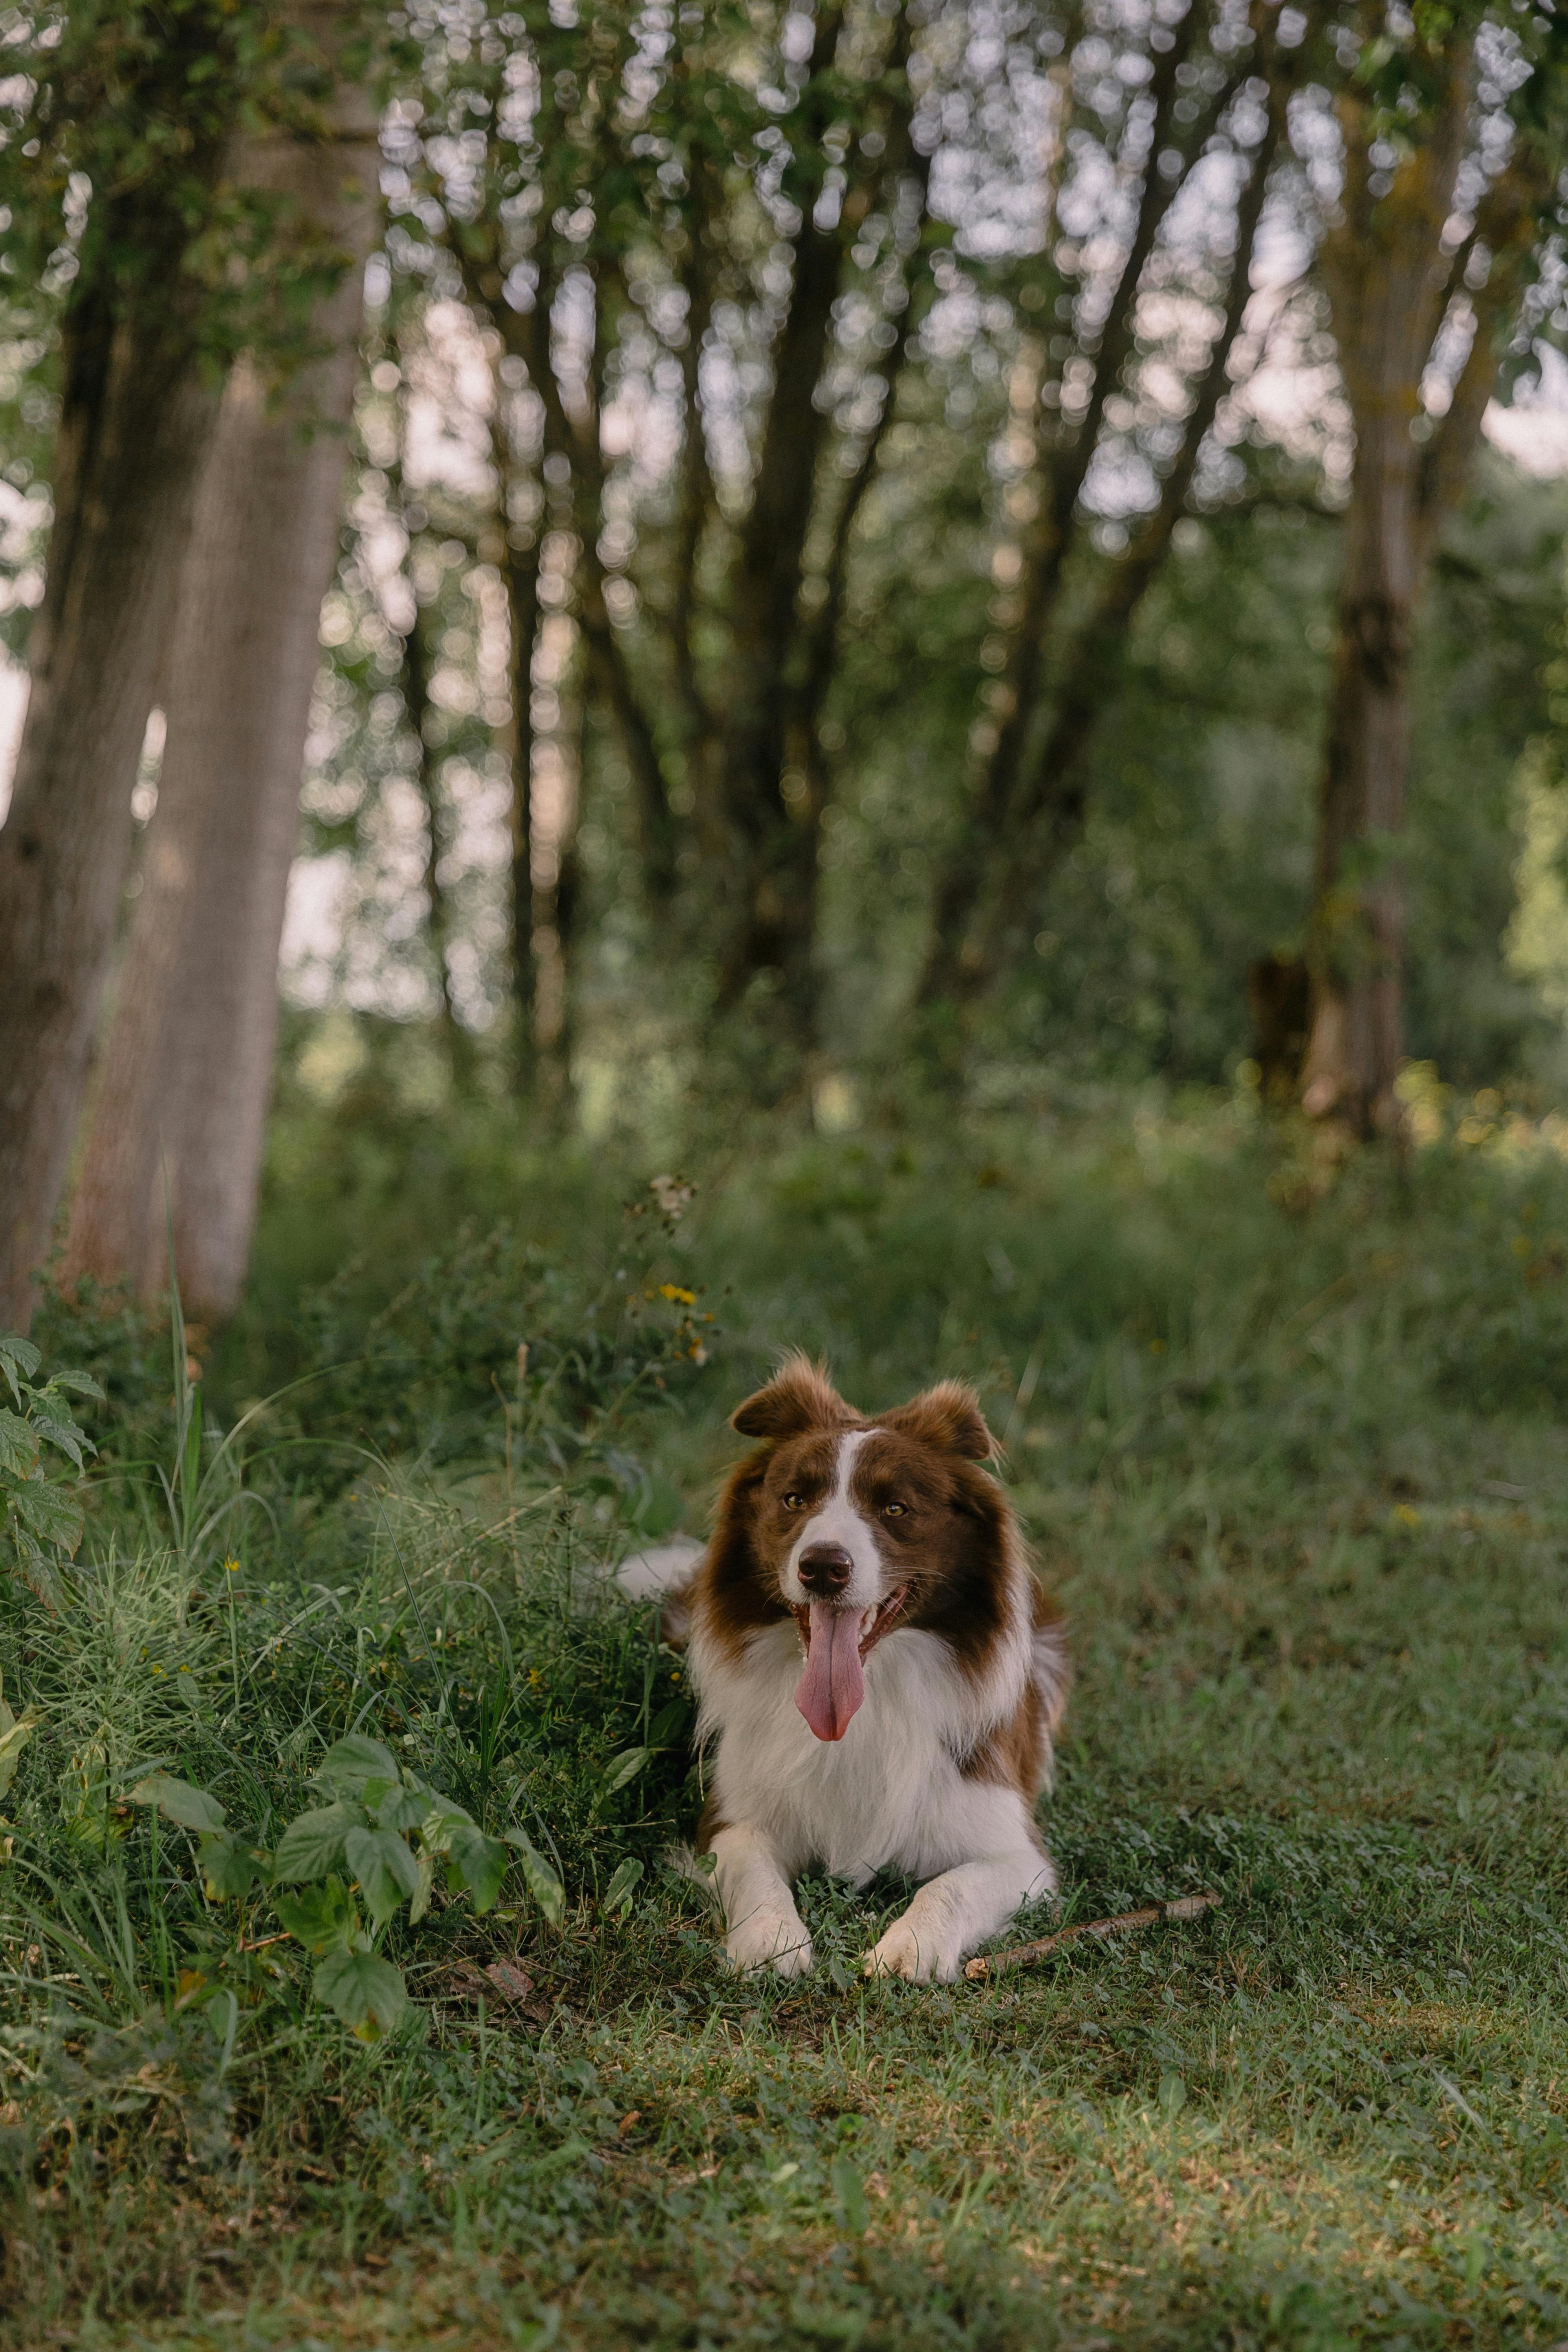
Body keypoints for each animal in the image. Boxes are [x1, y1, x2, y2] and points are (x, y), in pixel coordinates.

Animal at [658, 1354, 1072, 1975]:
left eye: (895, 1508)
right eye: (794, 1500)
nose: (823, 1567)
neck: (870, 1698)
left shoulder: (1016, 1852)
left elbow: (951, 1886)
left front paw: (910, 1946)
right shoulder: (735, 1816)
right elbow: (753, 1868)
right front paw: (771, 1939)